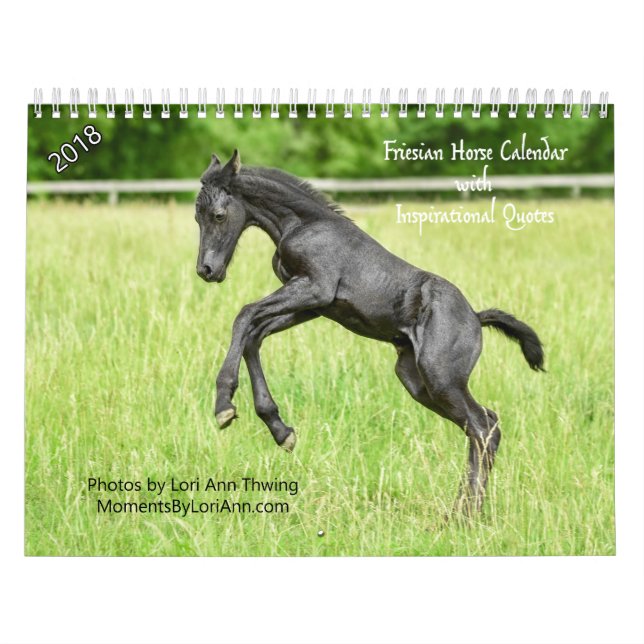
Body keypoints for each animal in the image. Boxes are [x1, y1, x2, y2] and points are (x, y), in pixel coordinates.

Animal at [195, 150, 544, 516]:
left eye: (218, 215)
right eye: (196, 216)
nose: (206, 270)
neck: (302, 223)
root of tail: (476, 318)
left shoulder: (315, 289)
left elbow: (244, 315)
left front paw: (224, 405)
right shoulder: (312, 306)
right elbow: (254, 334)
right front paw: (279, 428)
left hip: (441, 378)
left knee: (482, 426)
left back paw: (467, 515)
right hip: (416, 380)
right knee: (485, 424)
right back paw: (459, 510)